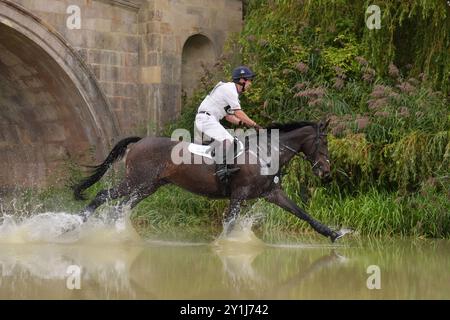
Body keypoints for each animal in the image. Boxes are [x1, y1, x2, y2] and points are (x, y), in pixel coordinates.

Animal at [73, 120, 344, 242]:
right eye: (323, 142)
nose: (325, 172)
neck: (267, 152)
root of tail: (140, 141)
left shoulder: (272, 194)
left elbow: (303, 214)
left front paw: (333, 233)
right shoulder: (239, 195)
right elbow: (230, 222)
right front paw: (224, 247)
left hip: (148, 187)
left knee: (119, 208)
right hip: (136, 181)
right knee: (103, 196)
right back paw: (74, 225)